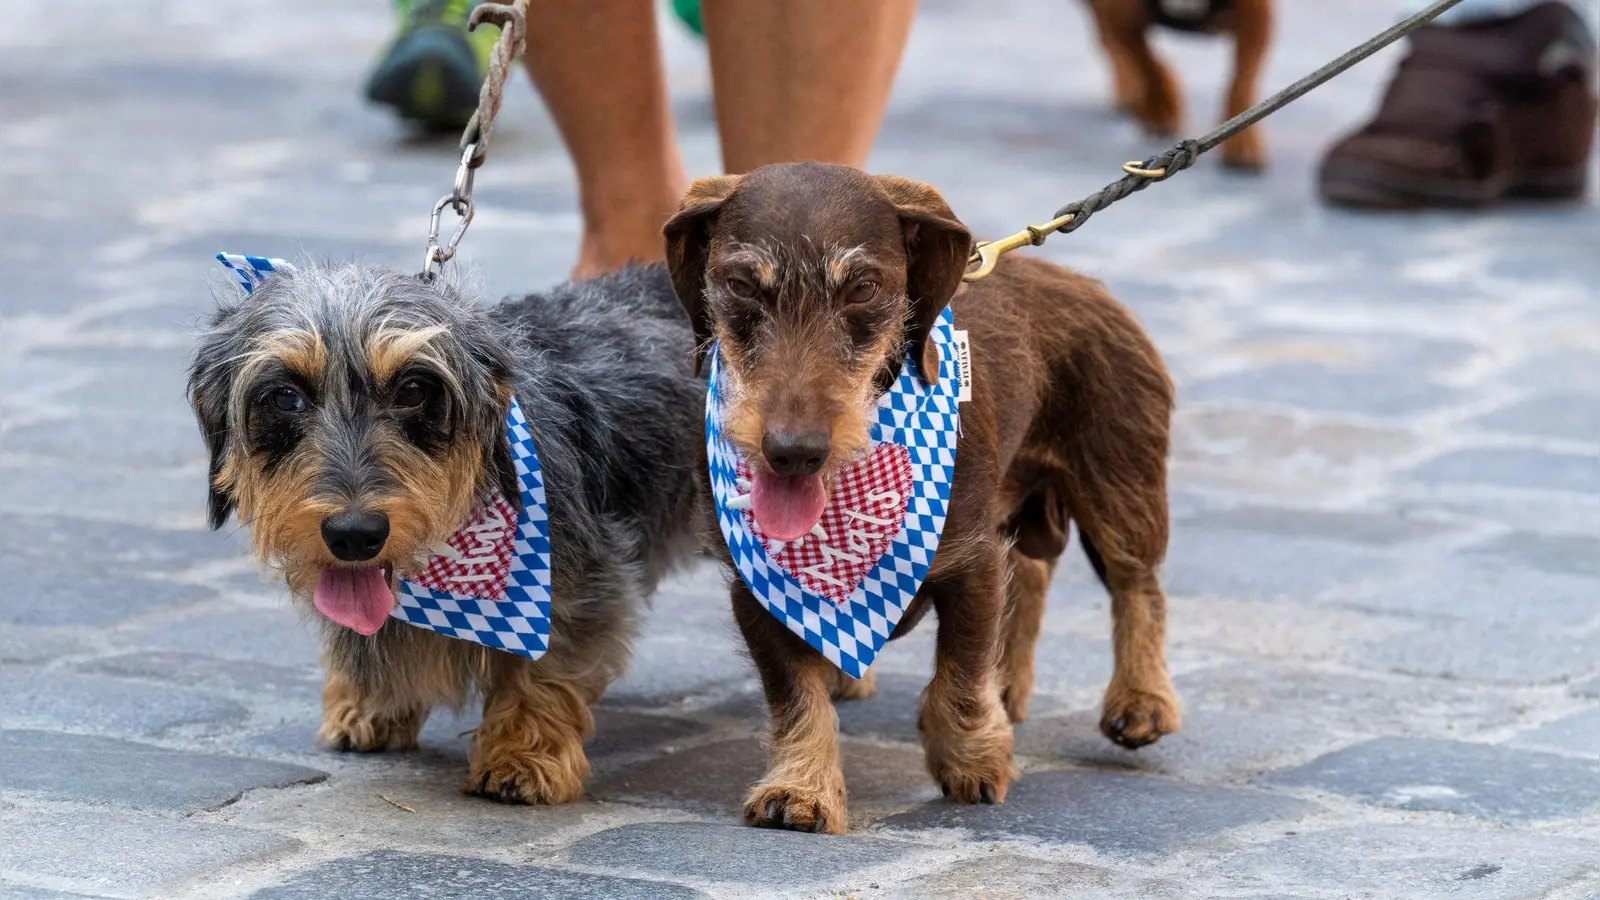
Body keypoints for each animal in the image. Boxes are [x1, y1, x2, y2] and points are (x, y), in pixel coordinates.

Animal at [659, 162, 1177, 832]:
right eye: (742, 285)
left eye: (862, 288)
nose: (793, 451)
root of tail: (1083, 282)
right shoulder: (755, 591)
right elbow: (795, 695)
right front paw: (802, 787)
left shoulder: (972, 560)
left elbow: (961, 671)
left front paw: (971, 759)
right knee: (1034, 574)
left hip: (1121, 483)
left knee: (1138, 586)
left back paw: (1141, 700)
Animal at [1088, 0, 1273, 168]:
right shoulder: (1121, 15)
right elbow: (1147, 64)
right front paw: (1161, 109)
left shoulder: (1256, 16)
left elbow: (1241, 83)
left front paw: (1242, 138)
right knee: (1107, 40)